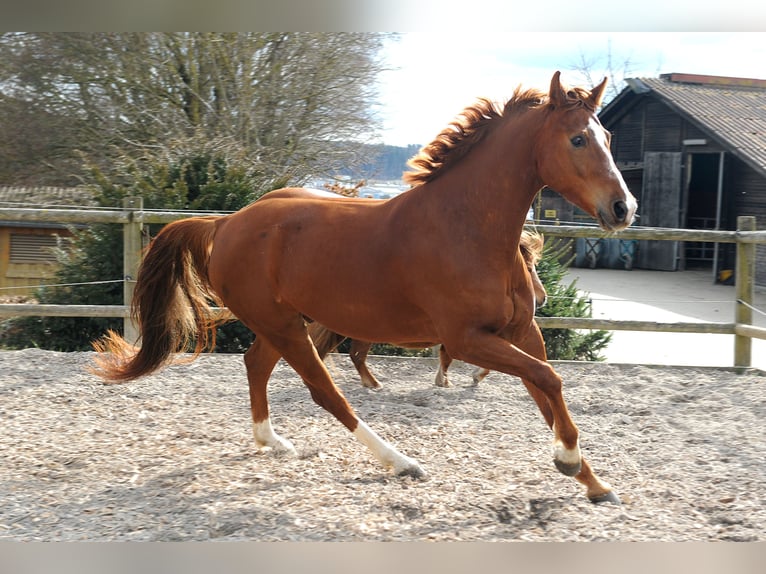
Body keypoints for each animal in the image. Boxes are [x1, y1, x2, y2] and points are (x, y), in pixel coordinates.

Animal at [308, 228, 548, 388]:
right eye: (528, 268)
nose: (542, 298)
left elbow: (446, 357)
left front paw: (446, 380)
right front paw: (458, 379)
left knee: (345, 353)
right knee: (354, 354)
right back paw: (373, 383)